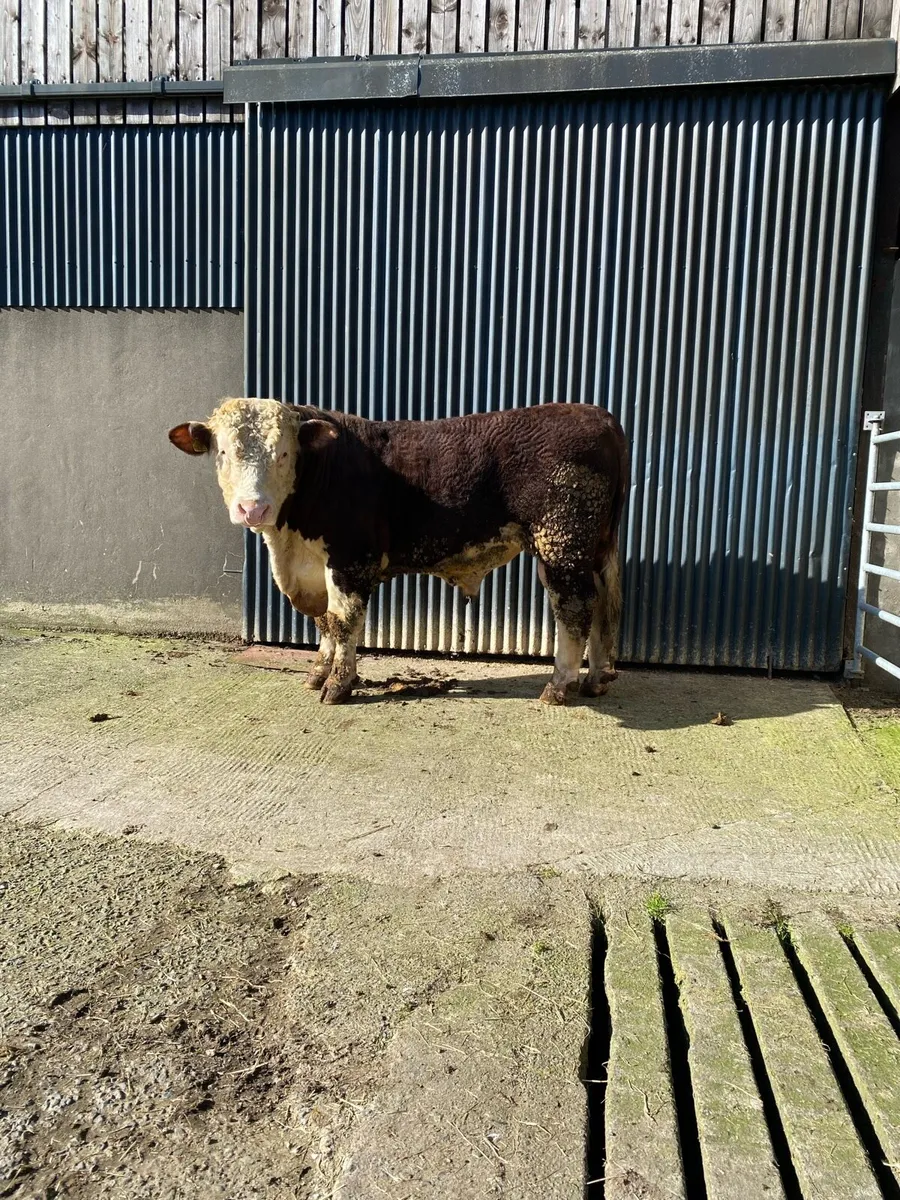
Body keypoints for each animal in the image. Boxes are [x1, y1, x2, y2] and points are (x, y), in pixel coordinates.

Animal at [169, 400, 629, 706]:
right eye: (222, 452)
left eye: (283, 452)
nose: (253, 508)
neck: (289, 543)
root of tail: (599, 414)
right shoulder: (318, 567)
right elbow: (324, 621)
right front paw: (318, 673)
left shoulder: (353, 559)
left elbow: (344, 622)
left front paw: (338, 685)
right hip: (594, 547)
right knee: (605, 605)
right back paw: (596, 679)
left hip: (562, 542)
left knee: (575, 609)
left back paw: (559, 686)